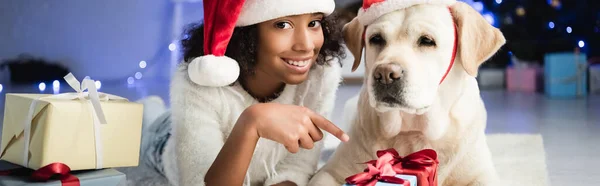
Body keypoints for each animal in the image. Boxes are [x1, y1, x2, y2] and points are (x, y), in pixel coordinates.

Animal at [310, 1, 506, 186]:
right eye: (376, 38)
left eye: (427, 40)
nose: (385, 75)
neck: (412, 131)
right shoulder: (329, 172)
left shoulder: (482, 176)